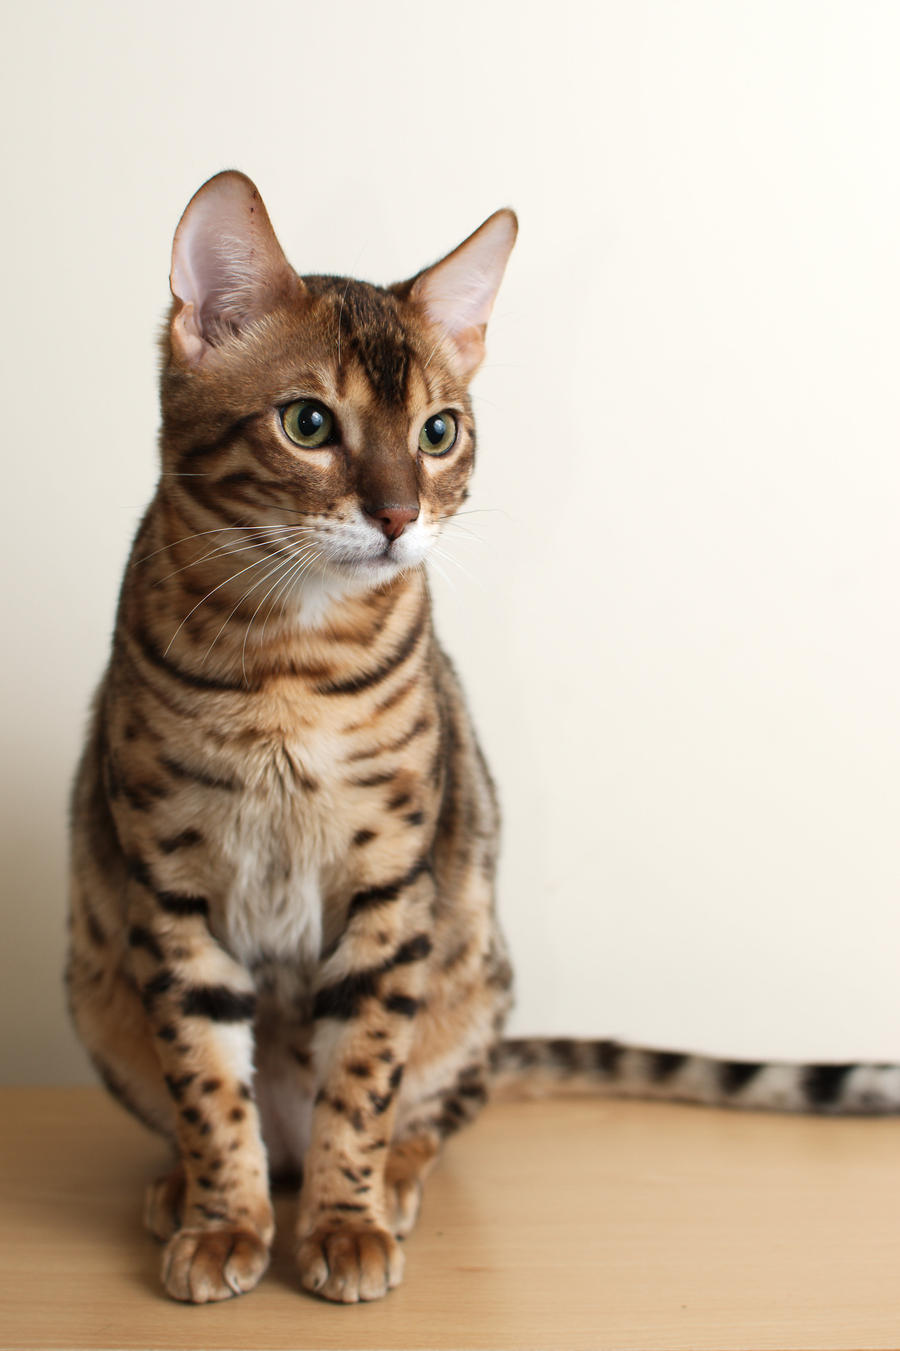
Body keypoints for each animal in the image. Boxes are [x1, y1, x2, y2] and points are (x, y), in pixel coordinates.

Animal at [66, 171, 897, 1307]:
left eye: (438, 432)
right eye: (308, 422)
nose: (398, 515)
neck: (289, 667)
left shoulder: (389, 886)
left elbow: (361, 1082)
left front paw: (343, 1225)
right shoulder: (171, 885)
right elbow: (207, 1083)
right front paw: (226, 1221)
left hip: (470, 977)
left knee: (423, 1113)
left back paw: (383, 1185)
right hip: (100, 984)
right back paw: (183, 1188)